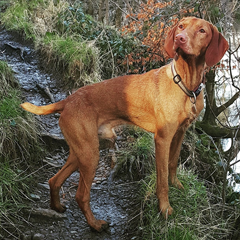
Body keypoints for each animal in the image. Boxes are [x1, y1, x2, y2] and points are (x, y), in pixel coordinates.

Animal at [21, 17, 229, 232]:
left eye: (202, 30)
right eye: (181, 26)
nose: (180, 38)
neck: (185, 84)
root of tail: (67, 101)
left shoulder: (180, 133)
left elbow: (172, 164)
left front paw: (178, 187)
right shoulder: (162, 139)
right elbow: (162, 178)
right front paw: (164, 209)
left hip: (81, 151)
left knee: (54, 180)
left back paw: (57, 206)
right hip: (90, 155)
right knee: (81, 196)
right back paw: (95, 224)